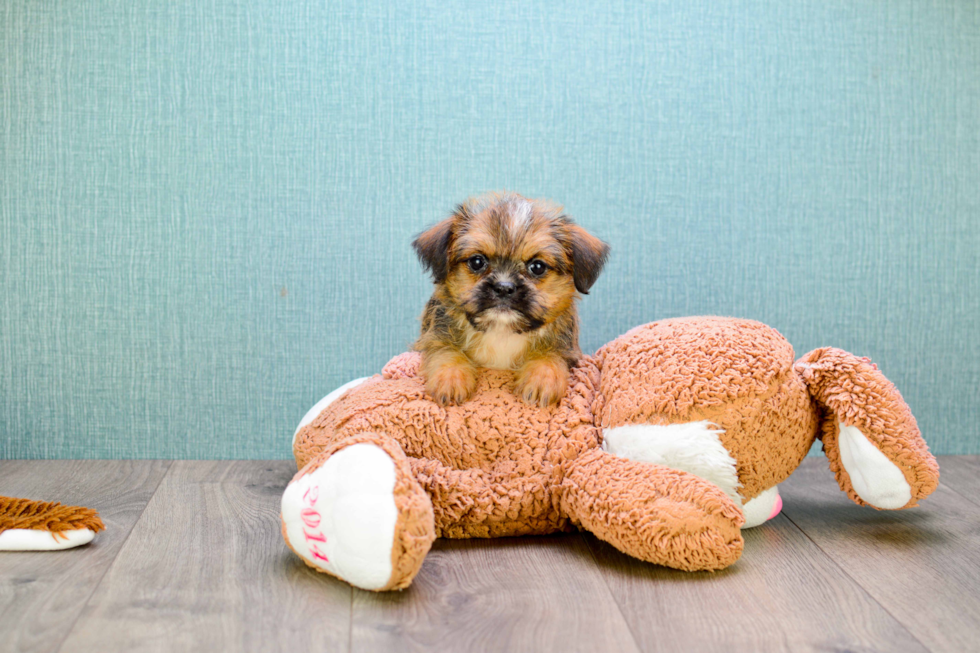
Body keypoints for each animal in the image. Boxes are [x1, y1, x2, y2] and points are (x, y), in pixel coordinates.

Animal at [410, 191, 608, 408]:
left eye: (537, 267)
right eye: (477, 262)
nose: (504, 287)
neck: (502, 331)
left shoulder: (567, 350)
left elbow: (550, 356)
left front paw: (542, 379)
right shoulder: (434, 336)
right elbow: (446, 352)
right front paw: (450, 378)